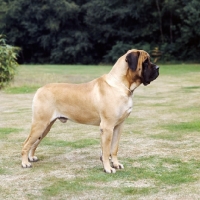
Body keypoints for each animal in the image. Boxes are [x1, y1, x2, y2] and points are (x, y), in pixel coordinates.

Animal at [21, 49, 159, 173]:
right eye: (145, 62)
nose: (158, 68)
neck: (121, 85)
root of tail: (40, 89)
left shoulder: (118, 126)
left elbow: (114, 148)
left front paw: (115, 164)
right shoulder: (107, 127)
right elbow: (106, 150)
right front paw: (108, 168)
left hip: (46, 126)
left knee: (34, 143)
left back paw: (31, 157)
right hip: (40, 124)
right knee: (26, 144)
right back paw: (25, 163)